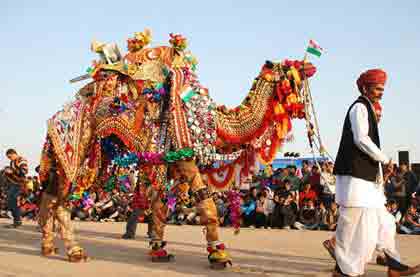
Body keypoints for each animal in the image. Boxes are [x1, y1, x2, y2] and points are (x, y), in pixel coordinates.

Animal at [37, 29, 316, 266]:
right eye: (289, 67)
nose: (309, 66)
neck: (214, 119)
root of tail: (56, 117)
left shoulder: (168, 160)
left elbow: (160, 204)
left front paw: (159, 250)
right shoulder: (185, 155)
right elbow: (204, 199)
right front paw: (219, 255)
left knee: (49, 195)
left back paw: (48, 247)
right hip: (79, 146)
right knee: (62, 199)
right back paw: (75, 251)